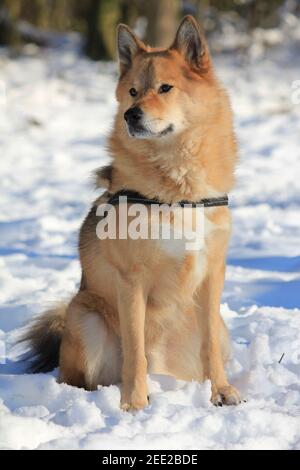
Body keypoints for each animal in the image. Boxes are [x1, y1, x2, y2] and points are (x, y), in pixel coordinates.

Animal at [22, 16, 240, 410]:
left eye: (165, 88)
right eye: (134, 91)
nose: (130, 115)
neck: (176, 187)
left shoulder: (213, 273)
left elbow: (210, 348)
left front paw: (221, 391)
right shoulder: (132, 280)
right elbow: (135, 351)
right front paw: (135, 405)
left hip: (220, 325)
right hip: (84, 315)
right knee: (82, 376)